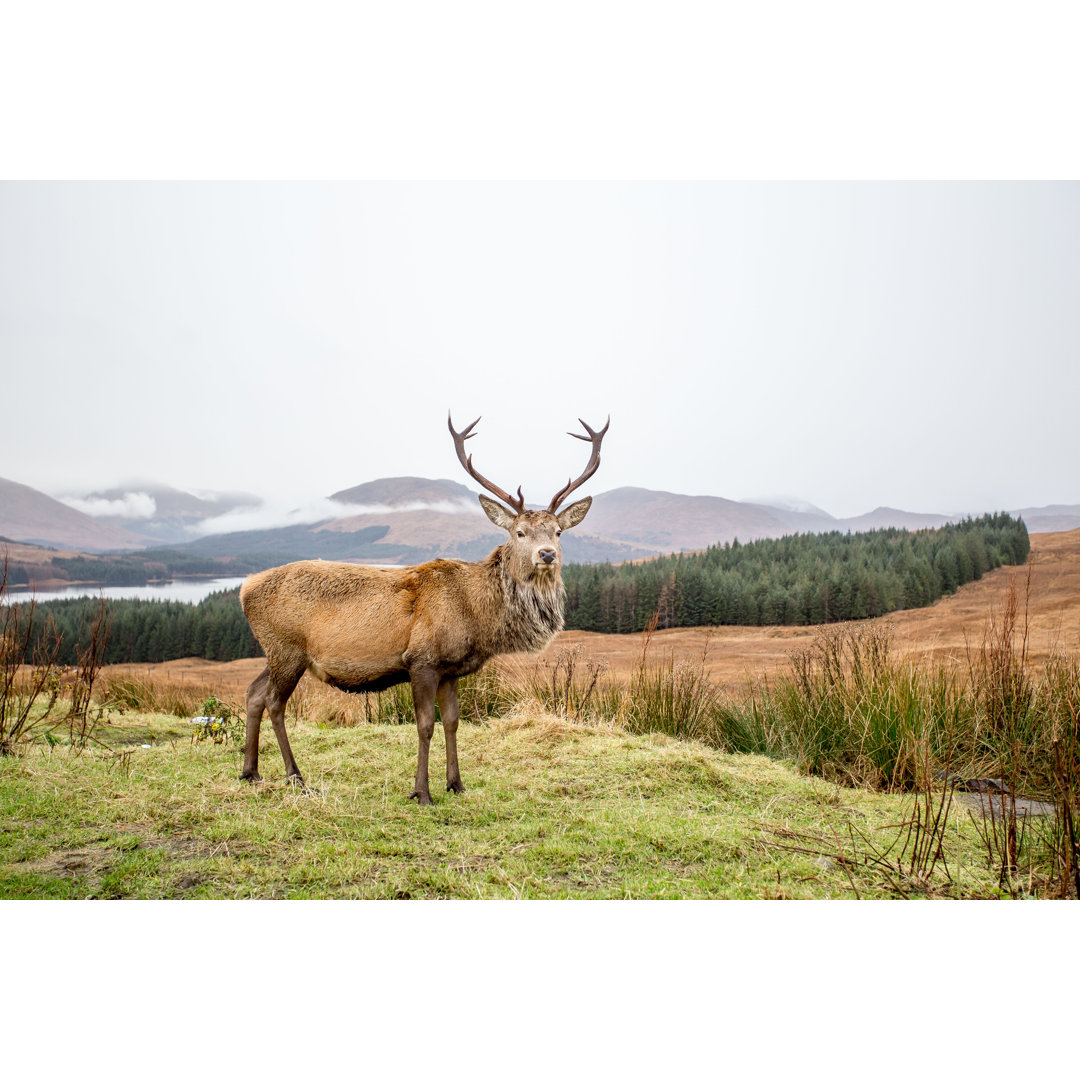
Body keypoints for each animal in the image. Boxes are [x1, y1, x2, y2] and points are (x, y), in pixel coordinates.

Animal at [237, 410, 609, 803]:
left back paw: (251, 772)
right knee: (275, 702)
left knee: (254, 693)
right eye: (519, 532)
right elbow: (426, 725)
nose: (547, 554)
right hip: (288, 649)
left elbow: (453, 722)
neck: (477, 617)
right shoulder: (421, 659)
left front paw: (456, 784)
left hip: (276, 653)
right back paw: (296, 777)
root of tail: (245, 588)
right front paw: (422, 791)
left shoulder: (451, 669)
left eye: (558, 532)